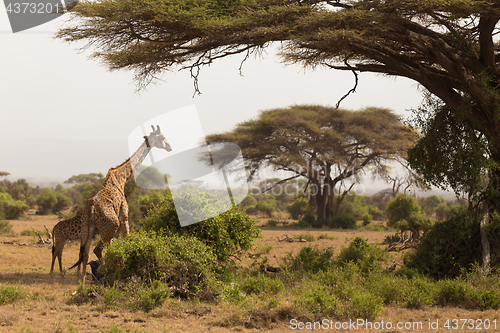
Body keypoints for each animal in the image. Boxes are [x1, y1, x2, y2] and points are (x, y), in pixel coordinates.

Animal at [69, 125, 173, 286]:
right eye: (162, 137)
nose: (169, 147)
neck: (122, 178)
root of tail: (91, 209)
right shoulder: (123, 216)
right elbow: (127, 240)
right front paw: (129, 275)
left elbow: (113, 247)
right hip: (111, 226)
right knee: (97, 250)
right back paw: (107, 276)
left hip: (88, 230)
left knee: (85, 253)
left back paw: (83, 284)